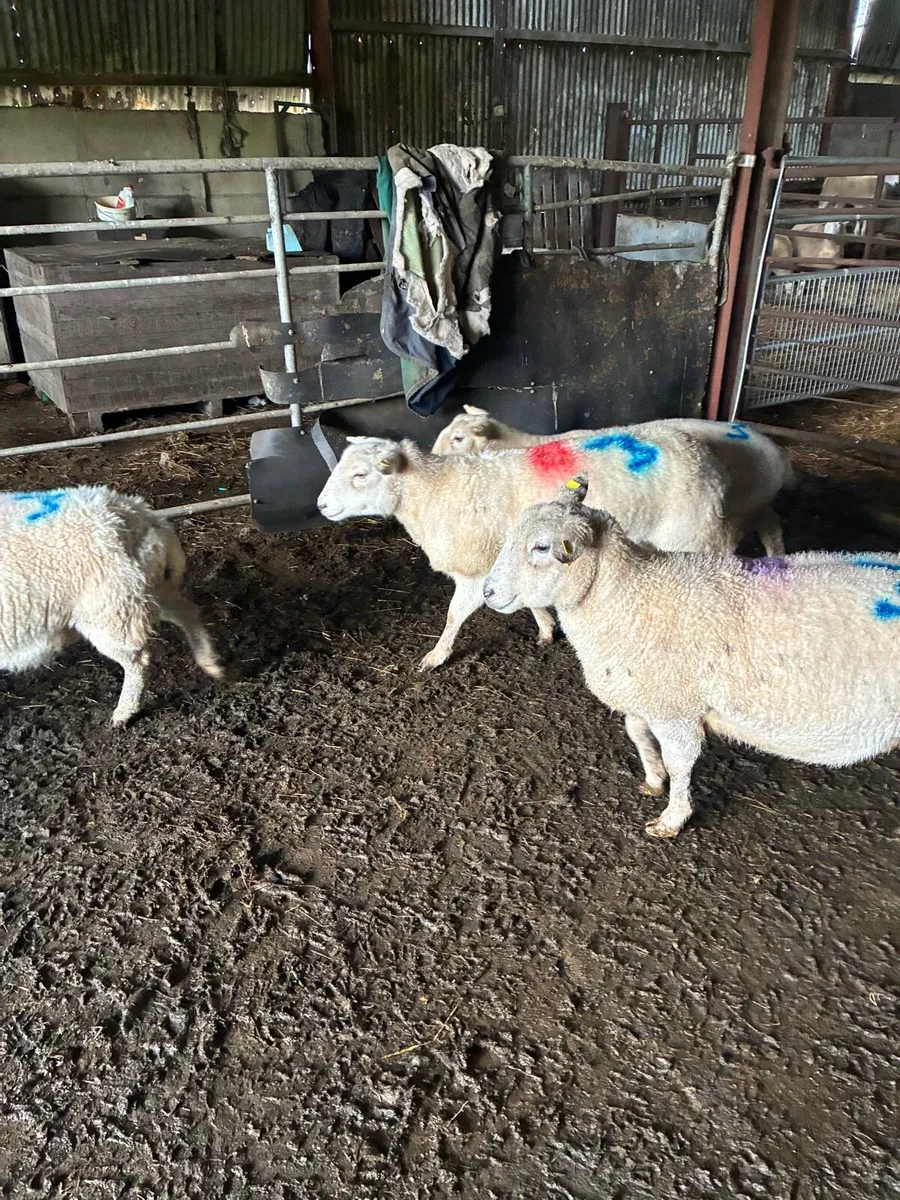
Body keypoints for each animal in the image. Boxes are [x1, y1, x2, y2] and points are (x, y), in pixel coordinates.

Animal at [0, 486, 222, 724]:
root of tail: (139, 515)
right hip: (145, 591)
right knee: (188, 611)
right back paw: (209, 661)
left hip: (110, 610)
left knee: (137, 660)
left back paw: (124, 713)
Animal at [483, 477, 900, 837]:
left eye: (540, 547)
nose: (487, 592)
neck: (631, 594)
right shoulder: (644, 692)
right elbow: (636, 733)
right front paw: (653, 779)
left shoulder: (676, 709)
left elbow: (679, 763)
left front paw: (672, 818)